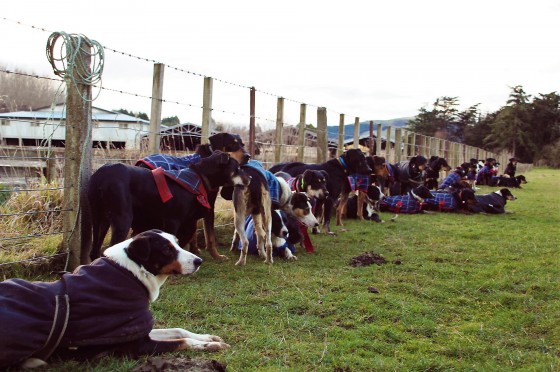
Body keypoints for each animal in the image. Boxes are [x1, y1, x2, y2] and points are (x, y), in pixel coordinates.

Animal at [0, 230, 230, 370]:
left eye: (178, 244)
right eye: (166, 249)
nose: (199, 261)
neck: (131, 273)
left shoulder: (135, 330)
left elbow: (179, 331)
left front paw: (207, 337)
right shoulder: (137, 346)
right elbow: (182, 341)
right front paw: (208, 346)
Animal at [88, 150, 249, 260]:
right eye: (238, 168)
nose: (250, 178)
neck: (200, 177)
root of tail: (100, 175)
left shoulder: (191, 220)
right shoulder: (172, 220)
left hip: (99, 219)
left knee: (94, 251)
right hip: (122, 219)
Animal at [133, 132, 249, 260]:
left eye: (243, 144)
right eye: (232, 144)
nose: (248, 156)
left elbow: (195, 232)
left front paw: (195, 250)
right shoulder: (208, 205)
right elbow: (210, 236)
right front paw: (217, 256)